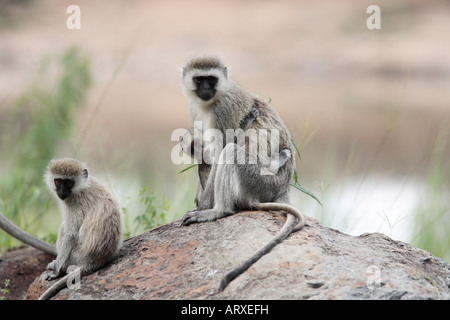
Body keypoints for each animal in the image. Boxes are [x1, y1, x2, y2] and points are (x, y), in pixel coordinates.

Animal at [180, 55, 306, 290]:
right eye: (199, 79)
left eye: (211, 79)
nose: (205, 89)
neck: (212, 100)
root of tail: (281, 187)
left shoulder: (223, 111)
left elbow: (220, 151)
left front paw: (203, 207)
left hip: (261, 181)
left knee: (230, 152)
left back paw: (219, 211)